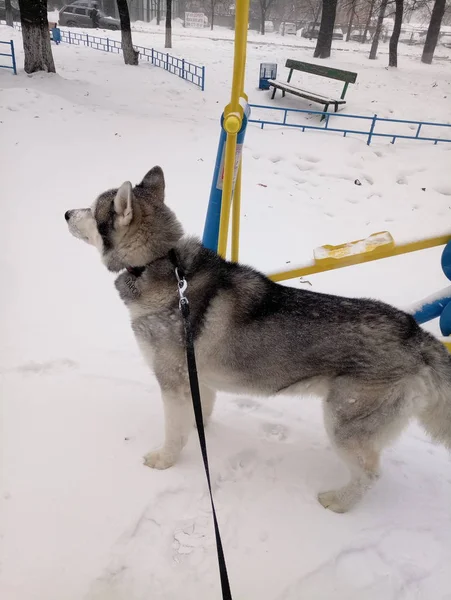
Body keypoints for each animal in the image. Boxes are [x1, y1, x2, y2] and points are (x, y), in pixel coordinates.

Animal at [66, 166, 451, 512]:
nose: (67, 212)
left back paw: (338, 503)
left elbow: (174, 432)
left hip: (344, 424)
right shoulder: (197, 380)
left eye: (92, 208)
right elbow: (198, 416)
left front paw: (165, 460)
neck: (160, 263)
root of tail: (416, 334)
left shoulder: (172, 382)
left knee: (370, 474)